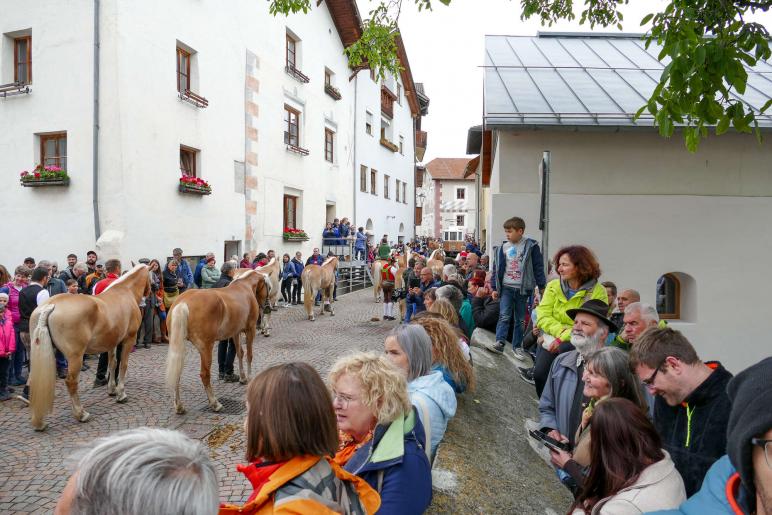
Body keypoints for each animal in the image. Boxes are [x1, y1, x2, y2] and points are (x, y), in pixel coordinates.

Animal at [28, 266, 151, 432]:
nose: (149, 293)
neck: (125, 292)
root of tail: (50, 306)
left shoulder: (111, 342)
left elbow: (112, 364)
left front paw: (111, 390)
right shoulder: (128, 340)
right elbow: (123, 365)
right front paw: (121, 394)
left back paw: (39, 422)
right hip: (75, 357)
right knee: (71, 382)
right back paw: (81, 414)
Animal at [165, 268, 268, 414]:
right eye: (267, 286)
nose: (266, 305)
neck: (244, 287)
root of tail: (183, 302)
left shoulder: (235, 332)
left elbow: (240, 353)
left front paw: (242, 378)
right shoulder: (250, 329)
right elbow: (249, 355)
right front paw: (249, 377)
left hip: (178, 346)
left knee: (177, 373)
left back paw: (179, 406)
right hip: (206, 347)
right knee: (204, 374)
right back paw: (215, 403)